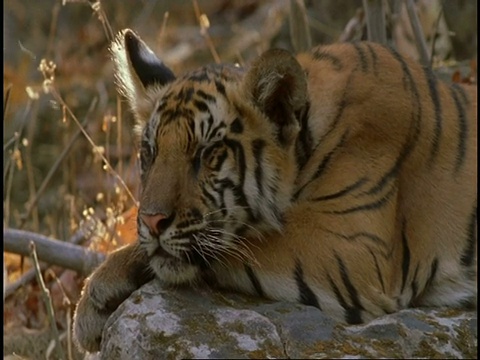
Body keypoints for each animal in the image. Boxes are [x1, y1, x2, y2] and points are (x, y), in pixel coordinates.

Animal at [71, 27, 476, 352]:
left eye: (207, 153)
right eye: (149, 153)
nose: (153, 221)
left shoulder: (353, 248)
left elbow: (235, 244)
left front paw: (95, 292)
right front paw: (96, 300)